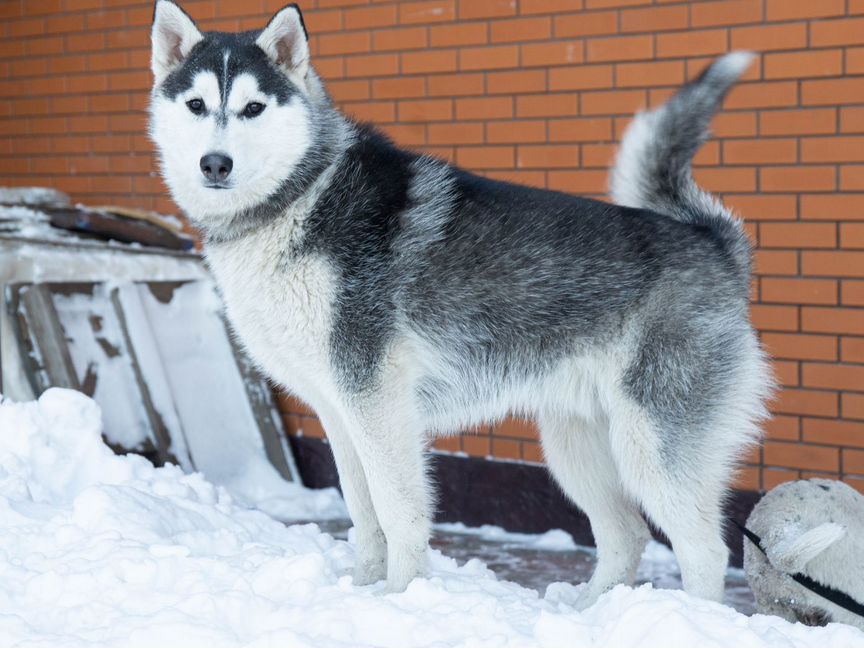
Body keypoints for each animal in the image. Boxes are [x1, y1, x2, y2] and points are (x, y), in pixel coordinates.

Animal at [148, 0, 768, 608]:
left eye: (253, 108)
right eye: (197, 105)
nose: (215, 164)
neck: (299, 198)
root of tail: (714, 242)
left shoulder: (378, 405)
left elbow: (397, 513)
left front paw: (398, 599)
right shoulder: (338, 412)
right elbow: (363, 514)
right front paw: (361, 590)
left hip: (651, 447)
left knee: (705, 551)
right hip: (575, 448)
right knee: (627, 534)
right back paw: (591, 613)